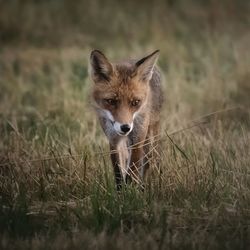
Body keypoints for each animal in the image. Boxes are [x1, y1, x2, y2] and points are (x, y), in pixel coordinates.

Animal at [89, 48, 163, 189]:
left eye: (135, 102)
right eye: (111, 101)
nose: (125, 128)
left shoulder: (138, 137)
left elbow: (133, 170)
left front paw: (131, 191)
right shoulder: (113, 139)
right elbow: (118, 172)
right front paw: (121, 191)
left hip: (151, 135)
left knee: (150, 161)